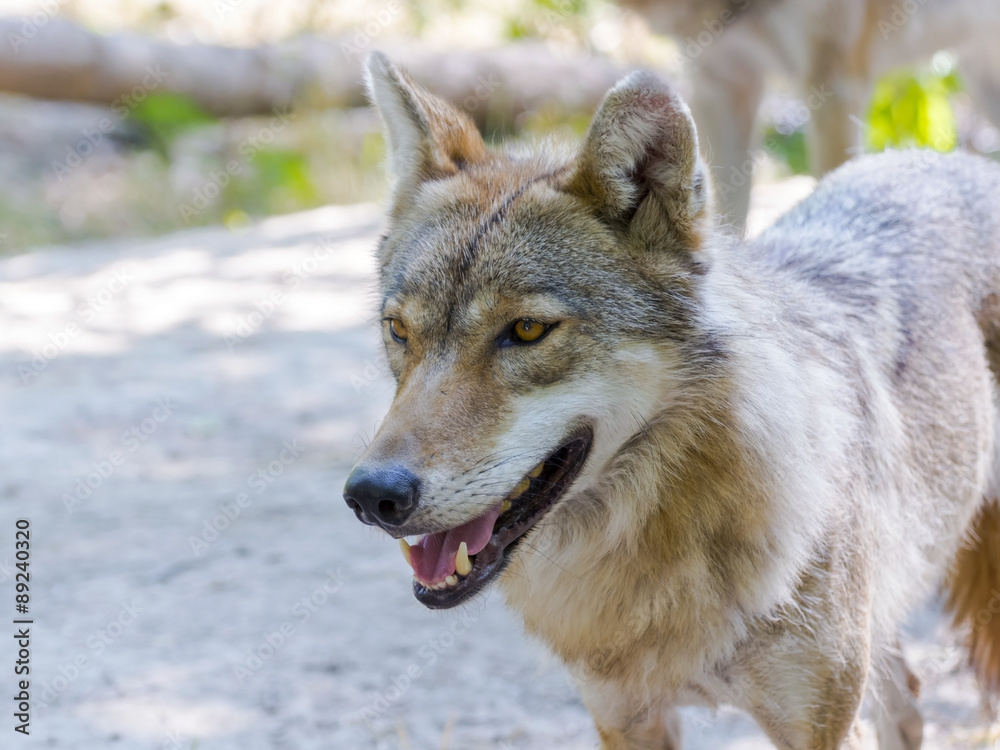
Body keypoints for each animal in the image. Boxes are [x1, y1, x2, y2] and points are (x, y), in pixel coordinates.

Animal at [343, 51, 1000, 749]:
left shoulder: (820, 726)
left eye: (525, 330)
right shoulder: (626, 718)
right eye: (398, 330)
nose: (372, 496)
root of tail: (961, 159)